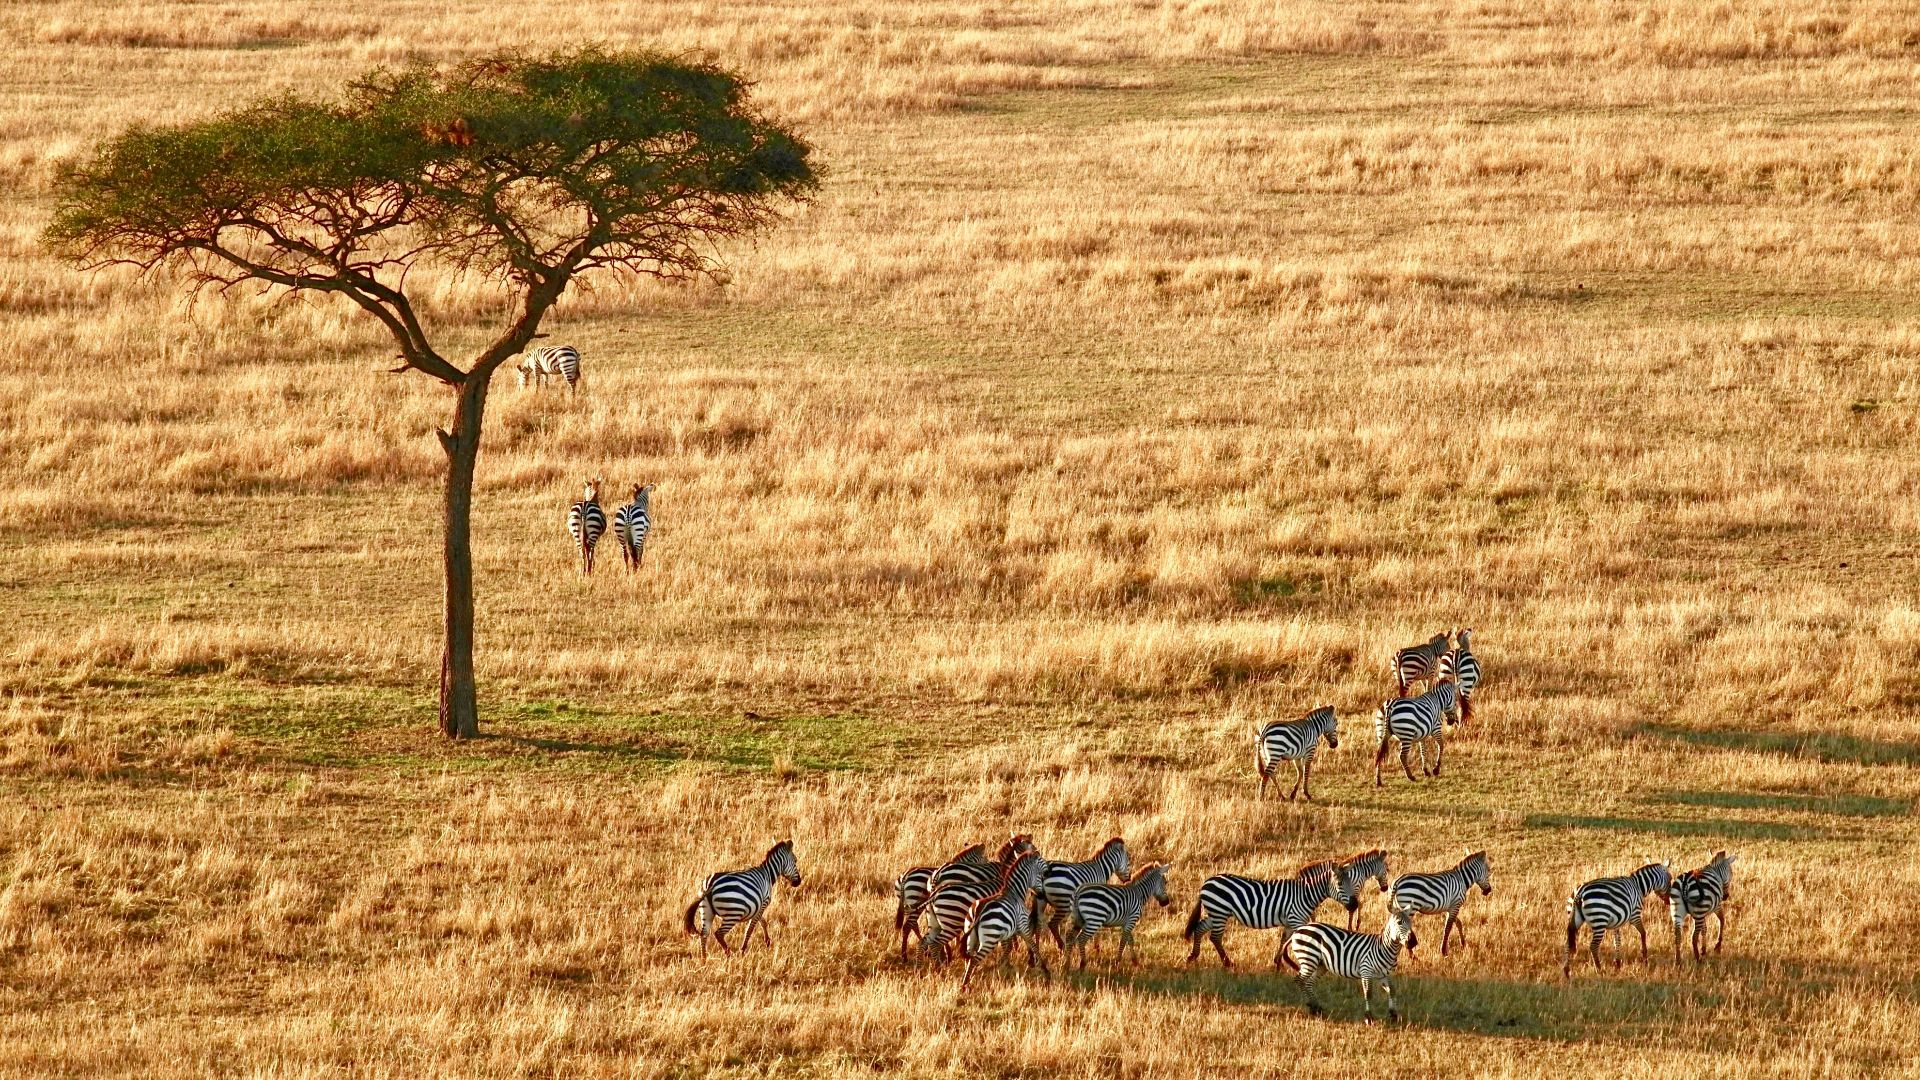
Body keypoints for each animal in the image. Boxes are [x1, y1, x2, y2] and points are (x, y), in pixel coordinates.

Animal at [959, 853, 1050, 988]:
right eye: (1041, 874)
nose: (1042, 895)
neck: (1015, 891)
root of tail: (979, 912)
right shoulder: (1023, 926)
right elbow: (1033, 945)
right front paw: (1045, 970)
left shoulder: (1008, 932)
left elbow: (1008, 949)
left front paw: (1001, 966)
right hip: (989, 939)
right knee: (975, 959)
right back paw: (966, 985)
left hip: (971, 935)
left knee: (969, 958)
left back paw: (968, 979)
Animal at [1182, 859, 1352, 969]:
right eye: (1340, 884)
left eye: (1350, 883)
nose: (1354, 904)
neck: (1305, 894)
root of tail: (1207, 882)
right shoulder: (1296, 920)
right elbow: (1294, 940)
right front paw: (1291, 963)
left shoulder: (1290, 922)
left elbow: (1284, 940)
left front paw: (1278, 962)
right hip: (1219, 912)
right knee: (1215, 937)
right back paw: (1227, 962)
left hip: (1216, 912)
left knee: (1200, 928)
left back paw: (1193, 956)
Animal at [1284, 908, 1418, 1024]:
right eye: (1399, 923)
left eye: (1411, 922)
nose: (1413, 942)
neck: (1384, 948)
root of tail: (1299, 929)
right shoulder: (1366, 970)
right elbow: (1368, 993)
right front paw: (1368, 1018)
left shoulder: (1383, 974)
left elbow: (1392, 991)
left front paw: (1393, 1015)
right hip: (1308, 958)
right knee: (1300, 980)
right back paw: (1311, 1007)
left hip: (1320, 965)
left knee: (1309, 982)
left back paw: (1317, 1008)